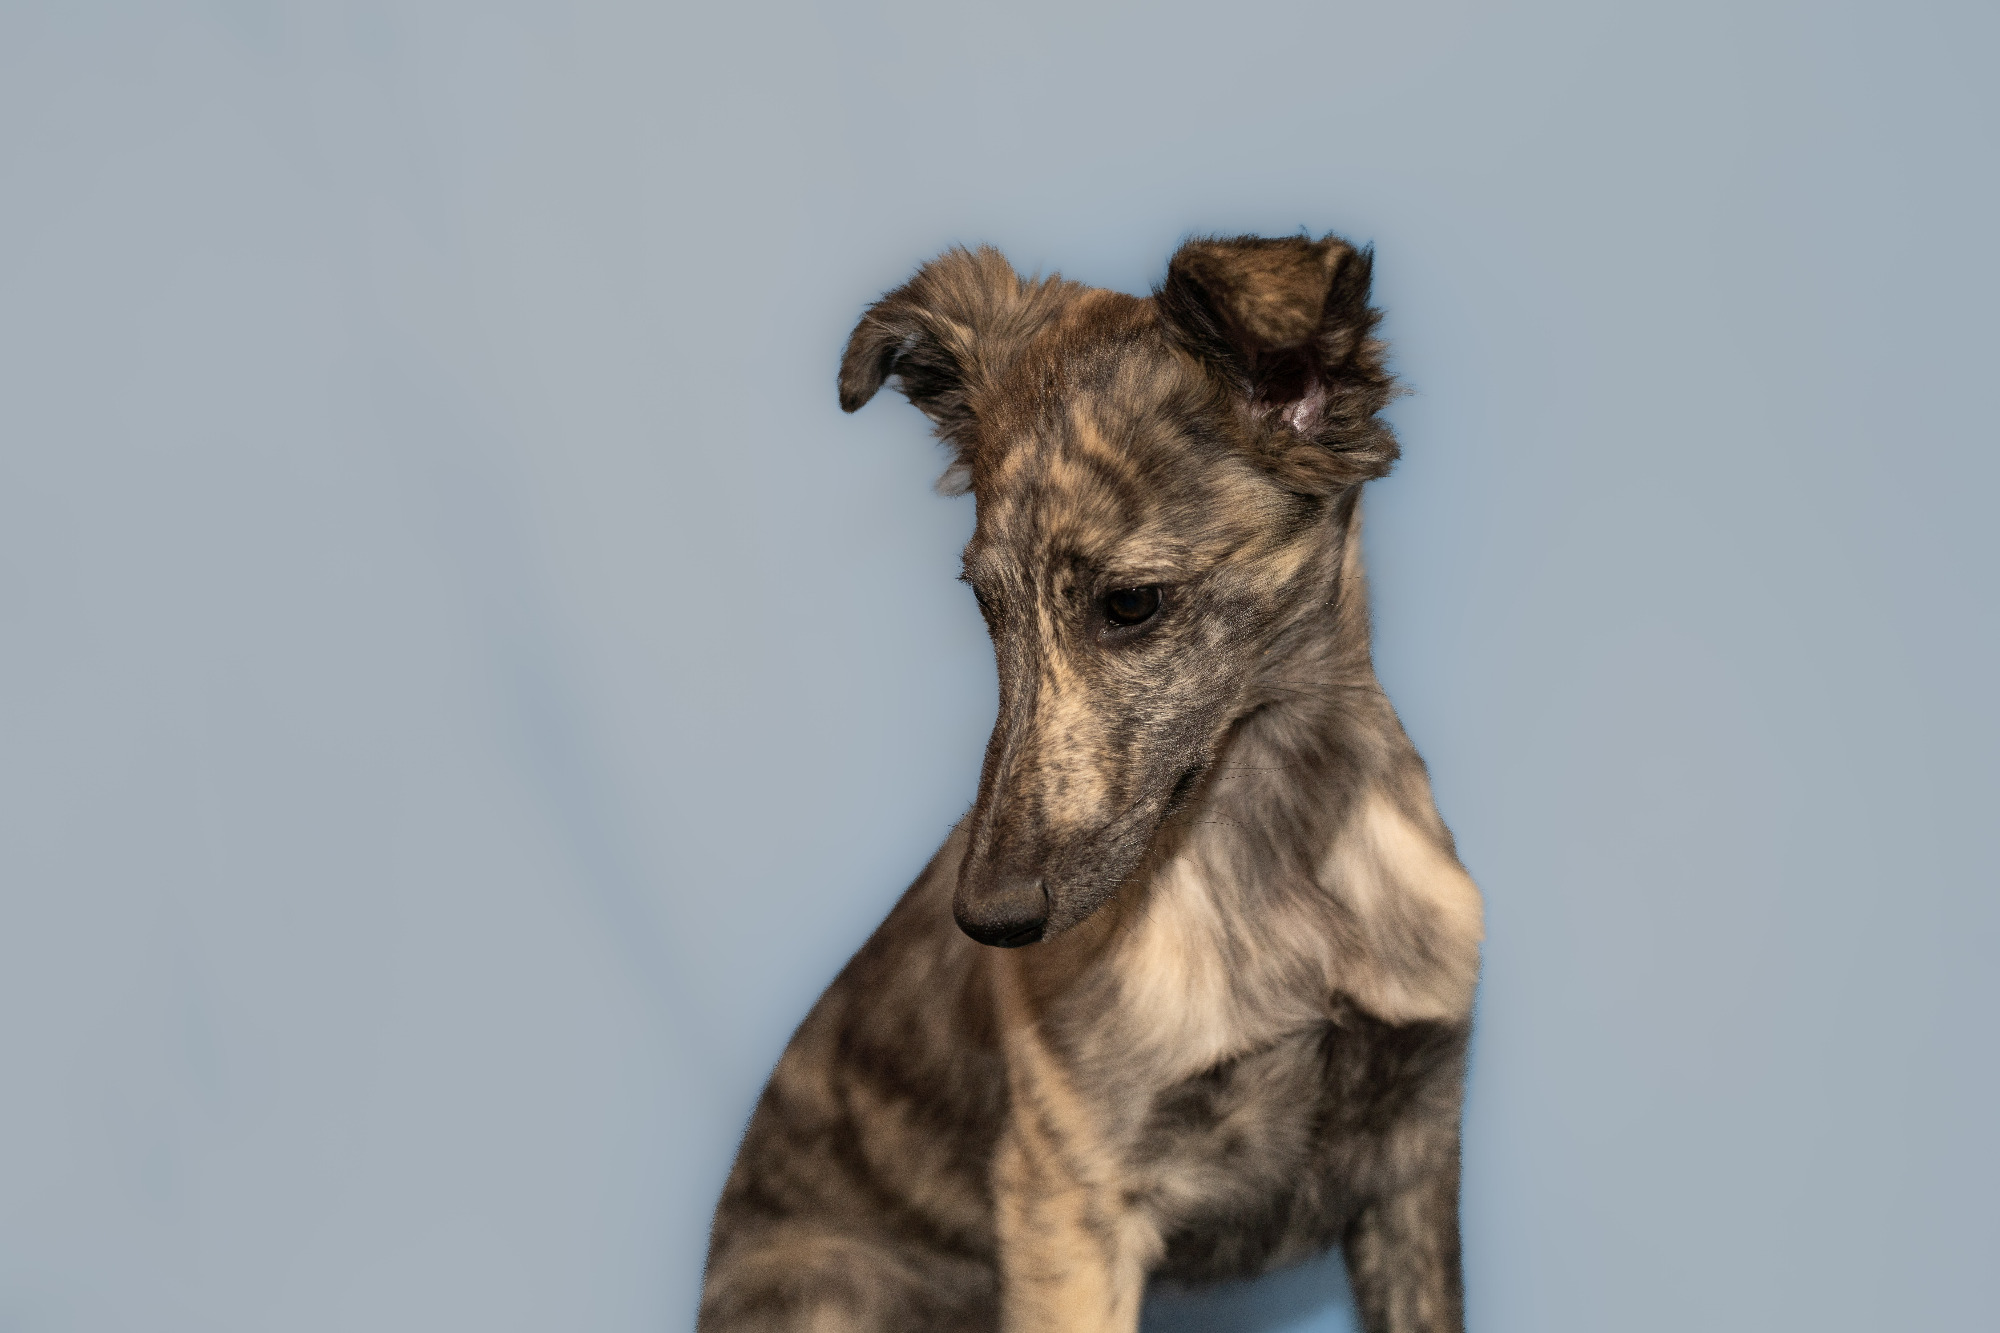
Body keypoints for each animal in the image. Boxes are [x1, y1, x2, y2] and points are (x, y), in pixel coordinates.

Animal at [698, 233, 1483, 1333]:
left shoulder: (1415, 1150)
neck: (1281, 855)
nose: (987, 922)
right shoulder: (1068, 1198)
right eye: (984, 606)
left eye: (1131, 602)